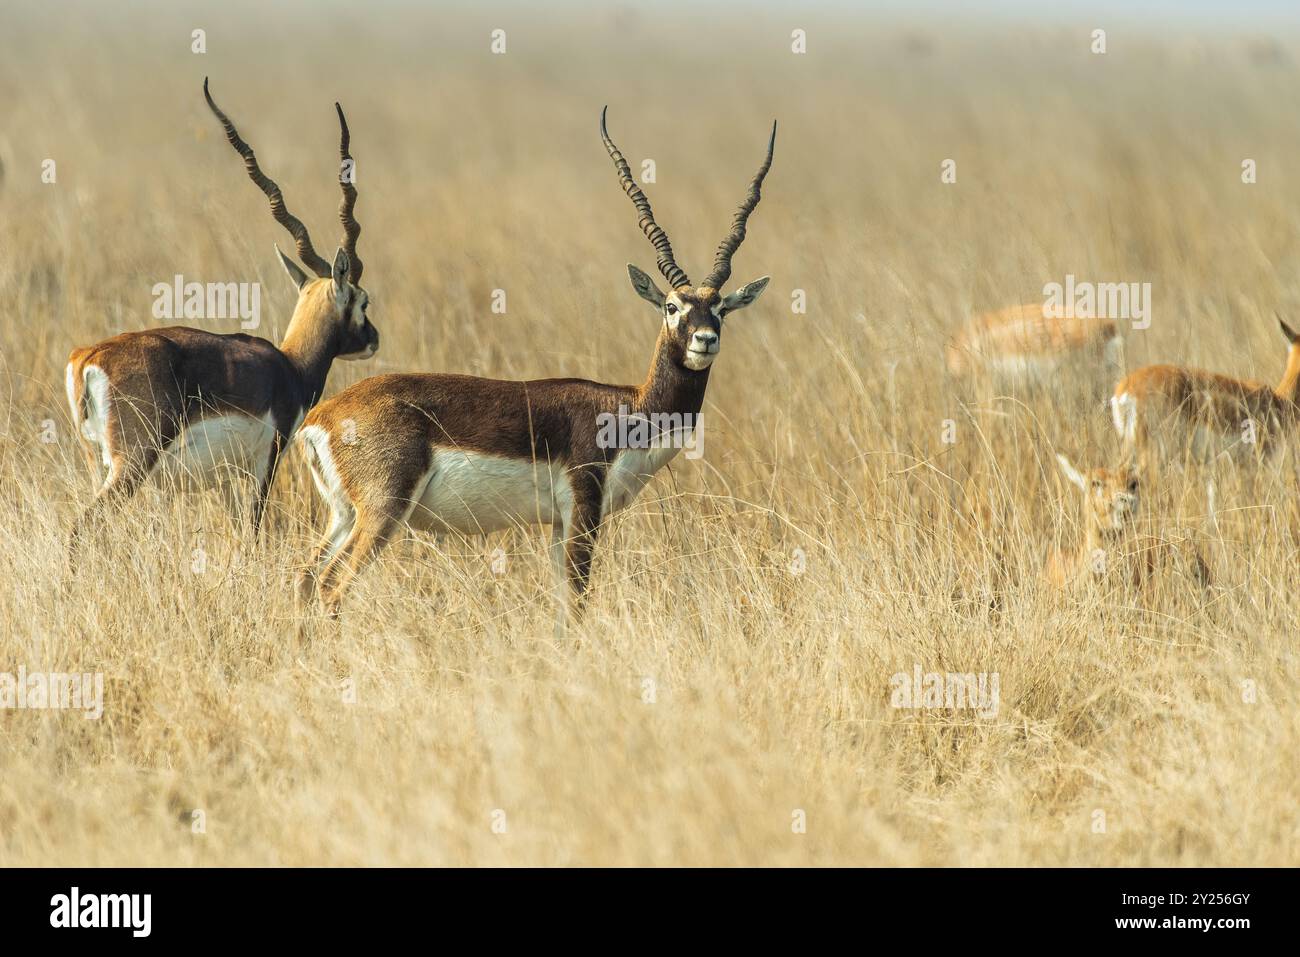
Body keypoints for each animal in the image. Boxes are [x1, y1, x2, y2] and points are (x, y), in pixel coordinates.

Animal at [65, 78, 377, 556]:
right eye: (363, 301)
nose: (374, 339)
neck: (289, 366)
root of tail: (90, 357)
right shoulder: (266, 460)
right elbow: (252, 531)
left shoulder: (227, 478)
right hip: (131, 464)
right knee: (79, 527)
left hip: (96, 460)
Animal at [295, 108, 774, 624]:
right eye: (671, 306)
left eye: (720, 308)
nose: (705, 340)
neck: (631, 408)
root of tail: (320, 418)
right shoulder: (584, 508)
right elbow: (578, 602)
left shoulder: (559, 523)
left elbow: (563, 606)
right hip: (384, 510)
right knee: (331, 585)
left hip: (344, 514)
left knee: (305, 577)